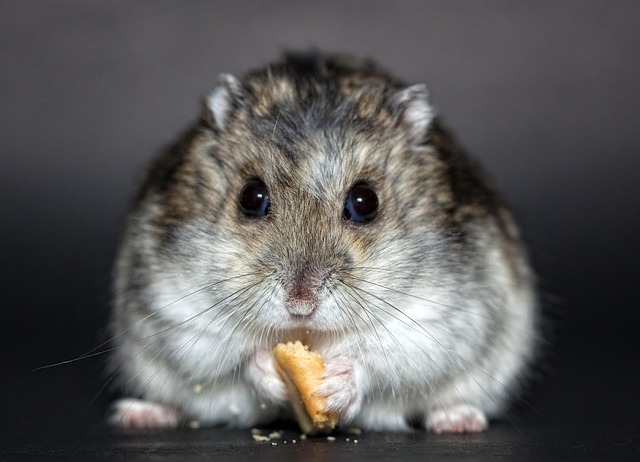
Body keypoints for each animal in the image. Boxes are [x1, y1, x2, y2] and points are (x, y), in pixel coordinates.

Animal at [108, 53, 537, 433]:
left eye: (365, 202)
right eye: (251, 197)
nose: (301, 306)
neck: (310, 336)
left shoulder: (438, 319)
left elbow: (382, 360)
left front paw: (335, 385)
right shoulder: (178, 310)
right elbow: (234, 358)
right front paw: (269, 370)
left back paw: (458, 421)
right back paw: (139, 414)